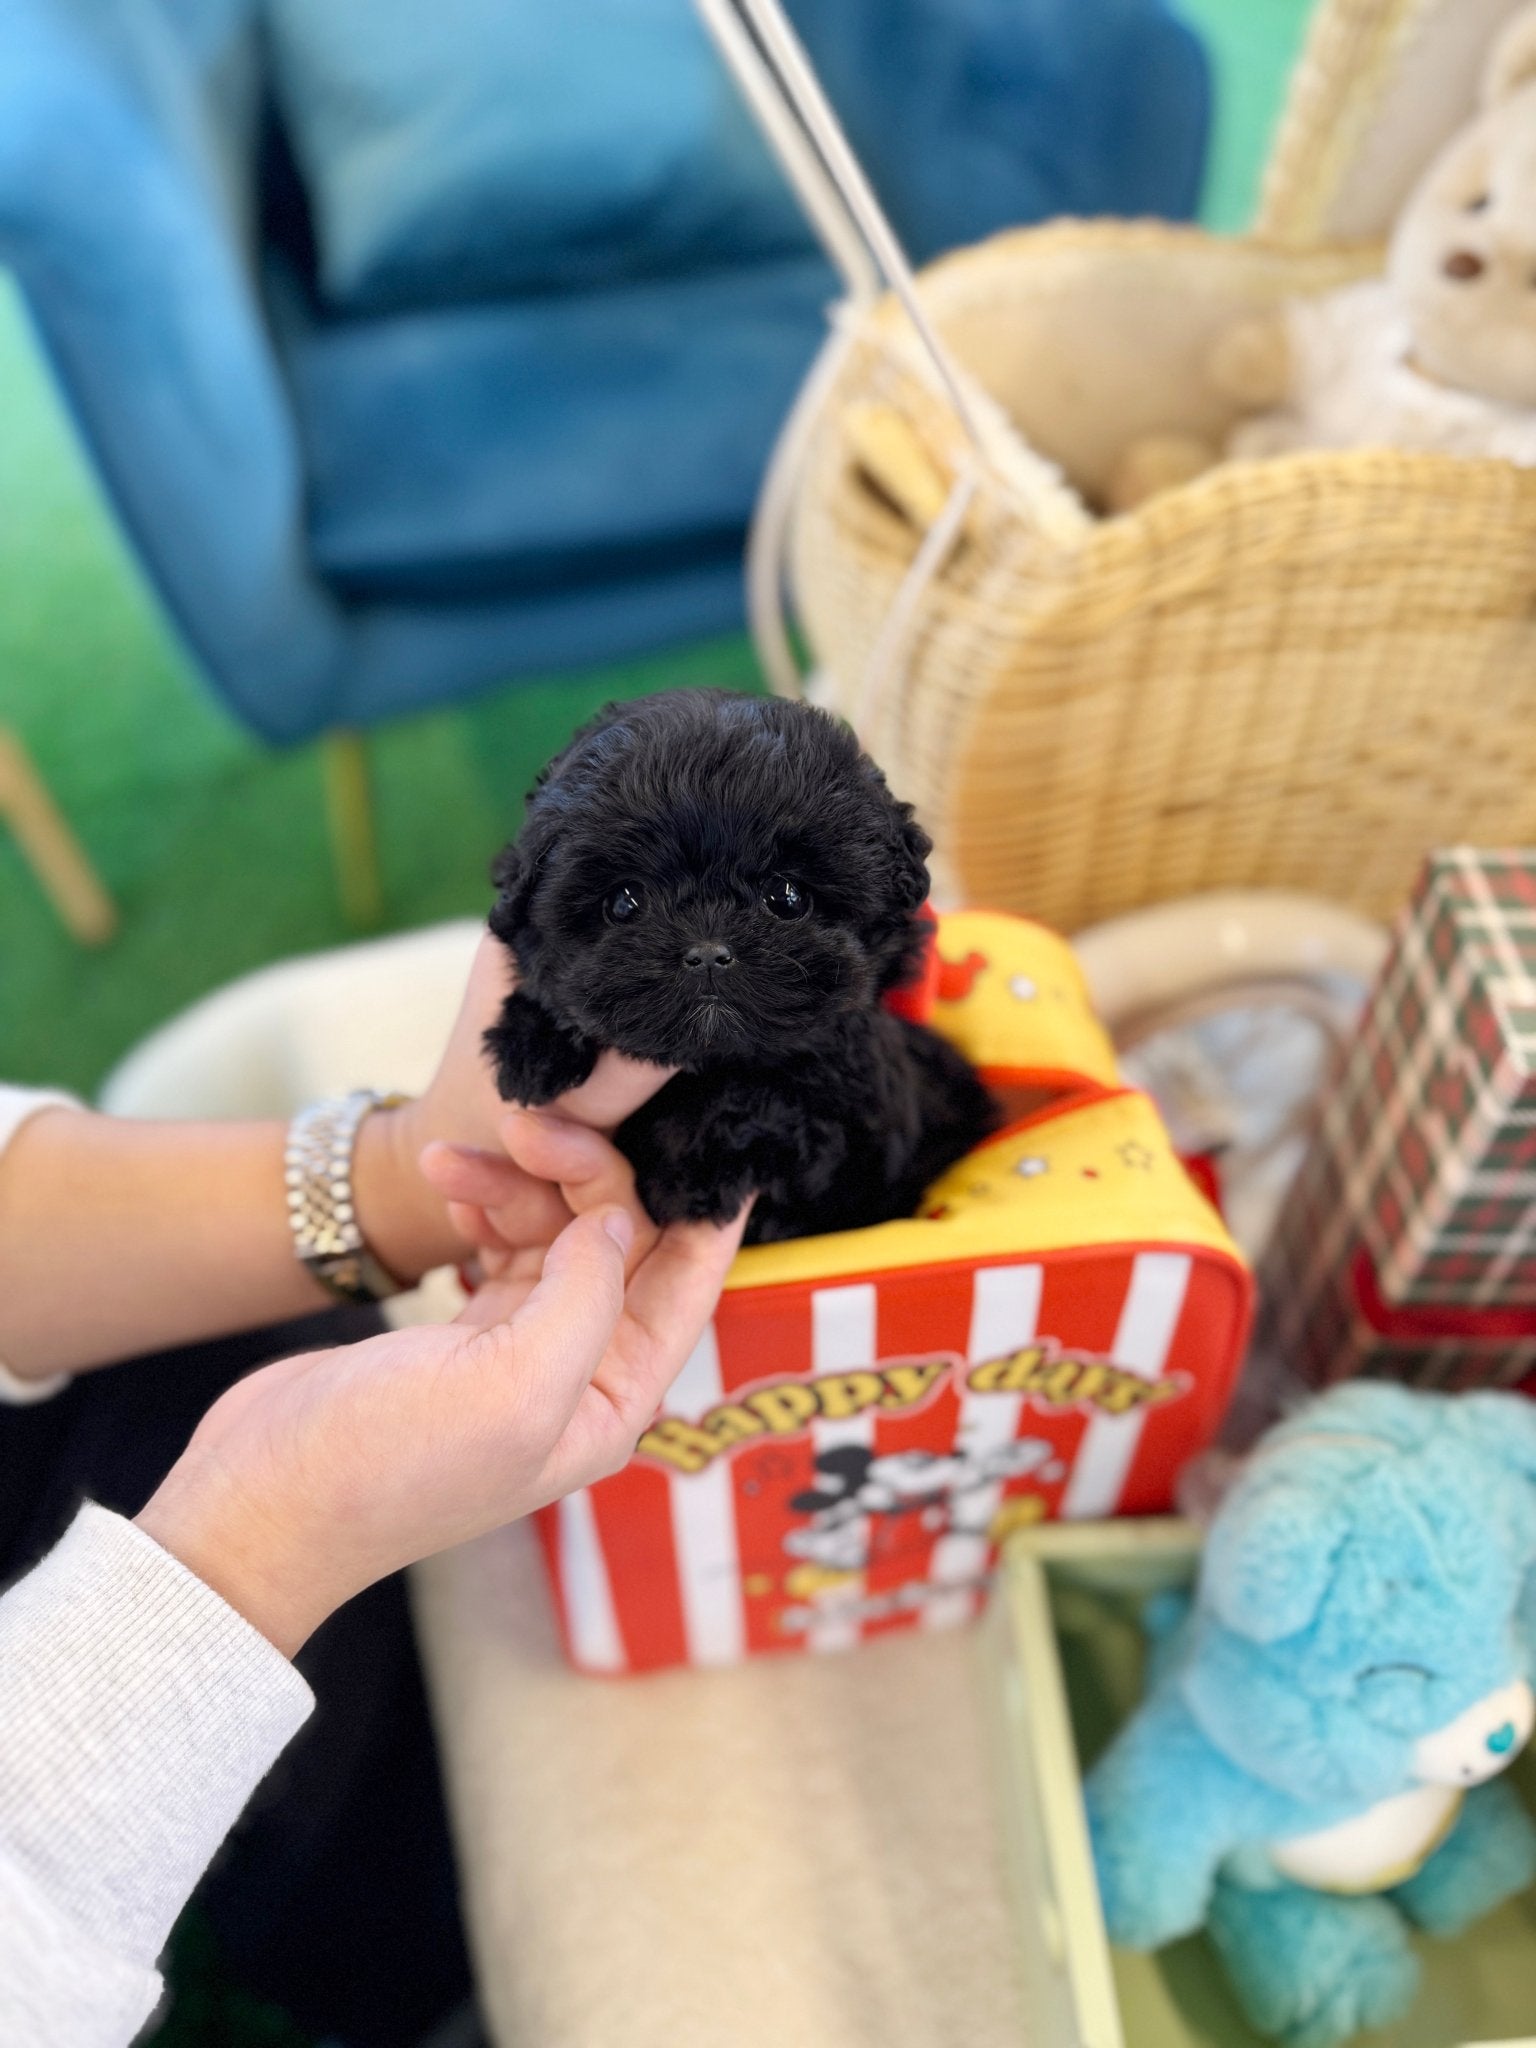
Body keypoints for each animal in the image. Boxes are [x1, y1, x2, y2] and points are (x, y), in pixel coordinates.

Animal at [487, 688, 1003, 1236]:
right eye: (624, 903)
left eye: (788, 897)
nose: (708, 953)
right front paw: (532, 1044)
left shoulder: (856, 1092)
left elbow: (771, 1093)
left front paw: (694, 1174)